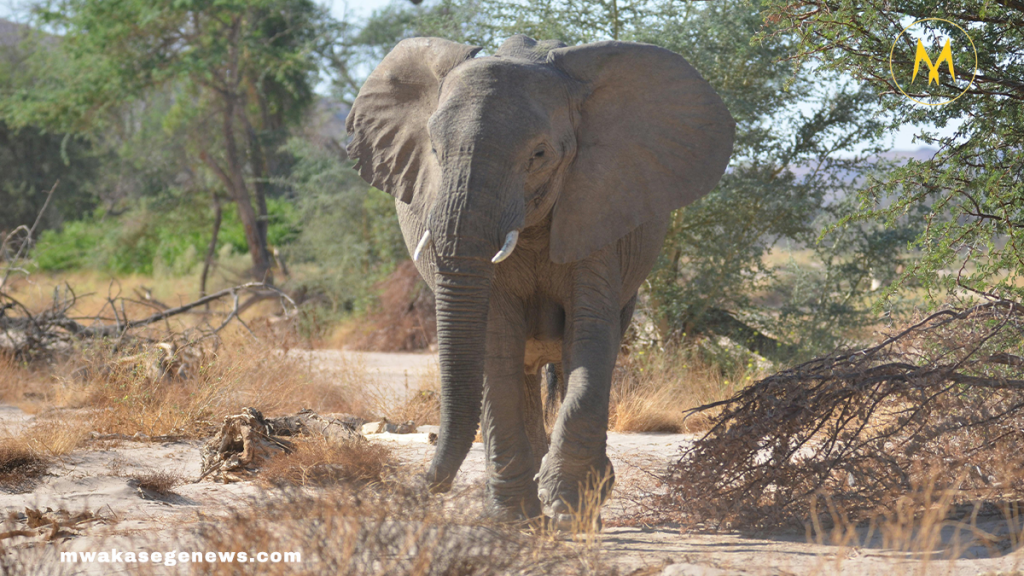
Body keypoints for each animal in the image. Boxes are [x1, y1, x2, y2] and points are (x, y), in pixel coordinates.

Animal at [346, 34, 734, 528]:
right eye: (433, 150)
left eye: (539, 155)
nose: (416, 488)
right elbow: (496, 346)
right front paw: (516, 520)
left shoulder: (598, 210)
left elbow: (590, 340)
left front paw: (568, 509)